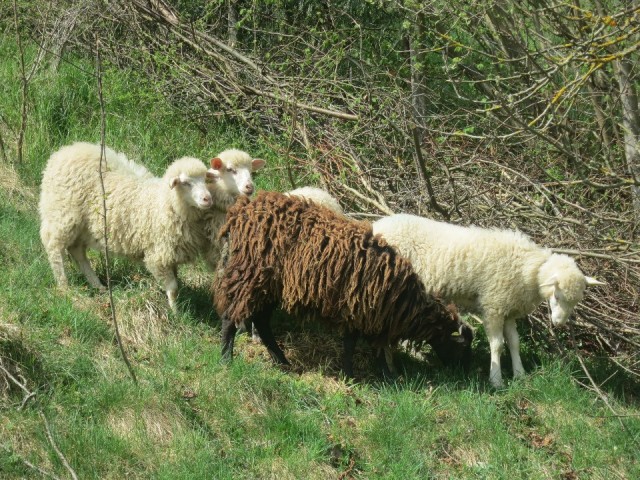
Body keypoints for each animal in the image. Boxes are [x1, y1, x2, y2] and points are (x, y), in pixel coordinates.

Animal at [39, 142, 214, 310]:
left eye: (205, 180)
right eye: (186, 183)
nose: (208, 199)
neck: (164, 203)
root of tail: (62, 152)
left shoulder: (171, 255)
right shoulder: (159, 255)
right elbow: (172, 288)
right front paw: (175, 313)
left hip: (82, 227)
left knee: (78, 253)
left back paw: (98, 286)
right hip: (62, 216)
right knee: (54, 249)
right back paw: (64, 286)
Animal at [213, 191, 473, 378]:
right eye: (462, 347)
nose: (465, 375)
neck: (404, 302)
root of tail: (242, 211)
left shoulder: (360, 313)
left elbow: (358, 346)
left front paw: (369, 375)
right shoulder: (363, 312)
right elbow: (363, 348)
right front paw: (374, 377)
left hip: (269, 285)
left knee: (262, 322)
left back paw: (283, 362)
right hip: (251, 273)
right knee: (231, 316)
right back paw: (226, 358)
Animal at [372, 213, 605, 387]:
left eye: (575, 302)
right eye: (557, 295)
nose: (558, 323)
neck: (530, 270)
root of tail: (376, 224)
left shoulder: (509, 309)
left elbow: (514, 342)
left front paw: (519, 373)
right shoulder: (494, 305)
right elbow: (498, 345)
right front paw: (496, 379)